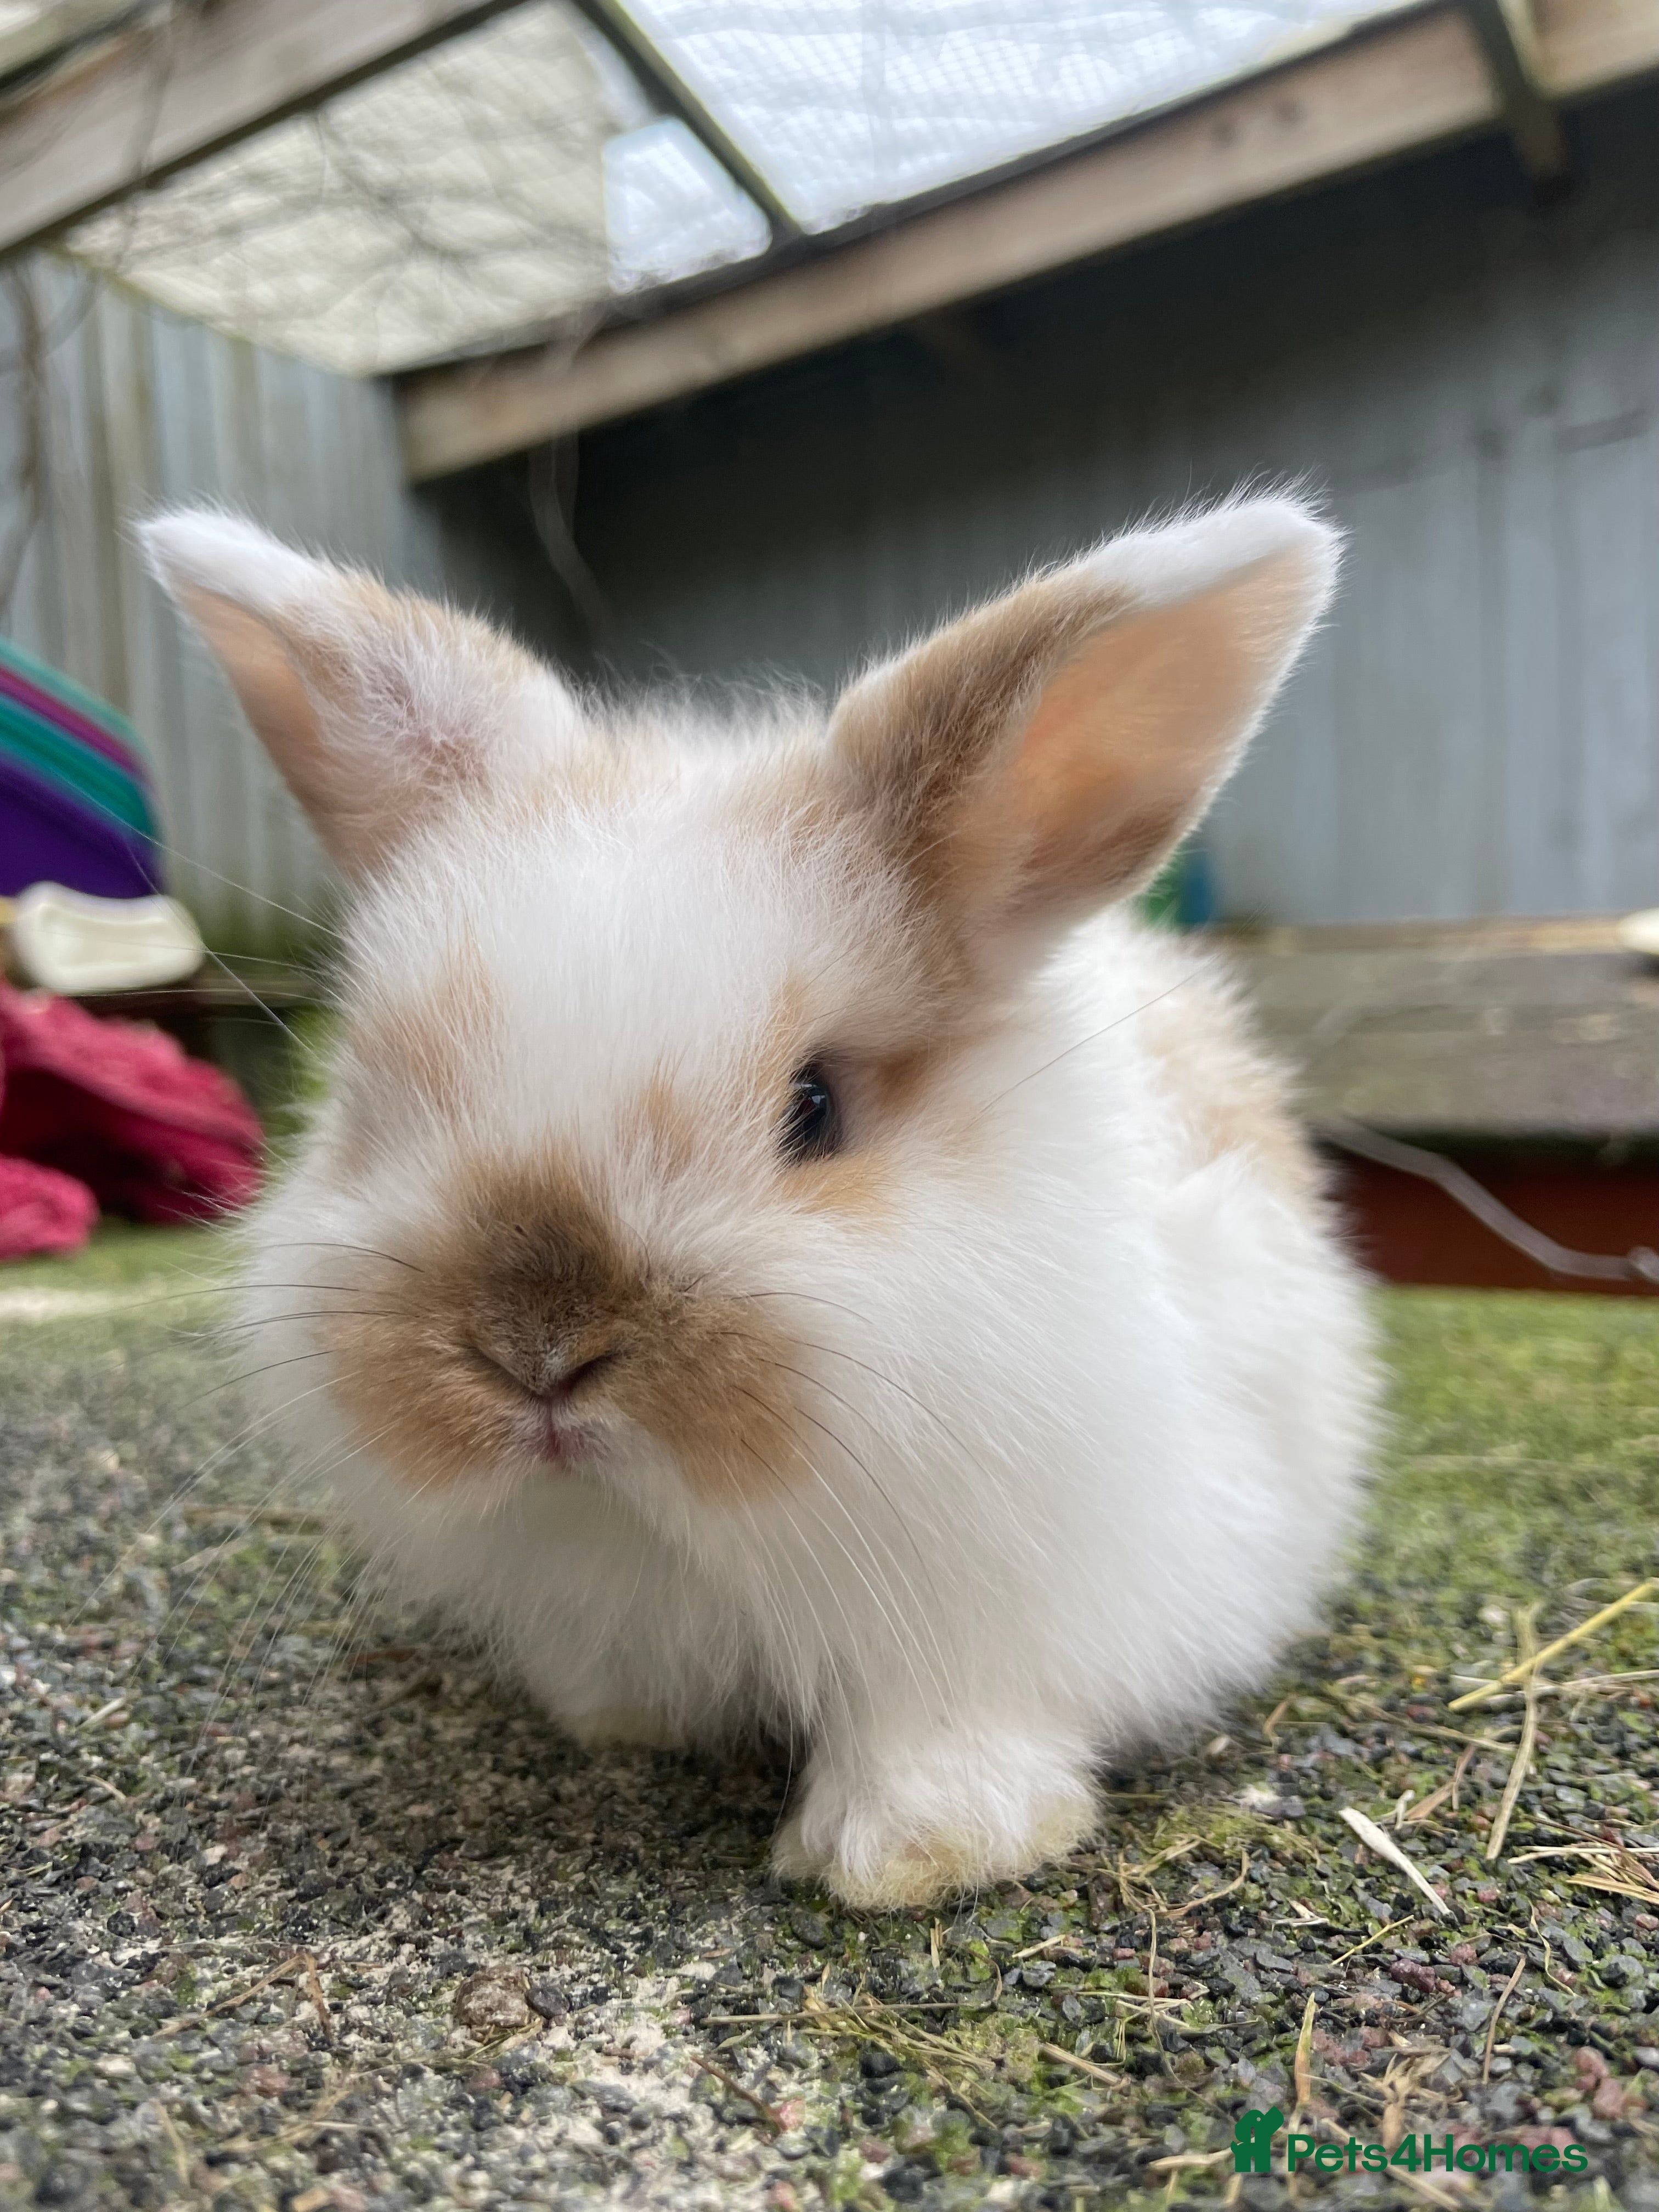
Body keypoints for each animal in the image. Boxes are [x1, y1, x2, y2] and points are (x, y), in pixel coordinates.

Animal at [141, 492, 1375, 1909]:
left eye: (816, 1107)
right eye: (380, 1095)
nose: (536, 1355)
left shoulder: (1003, 1611)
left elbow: (942, 1730)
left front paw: (916, 1852)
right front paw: (625, 1727)